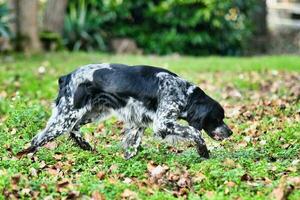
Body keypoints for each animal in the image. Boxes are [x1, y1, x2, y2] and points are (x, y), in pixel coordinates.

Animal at [17, 64, 232, 159]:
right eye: (217, 119)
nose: (230, 132)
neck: (183, 92)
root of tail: (66, 76)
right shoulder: (162, 123)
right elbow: (195, 132)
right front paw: (203, 151)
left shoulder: (139, 123)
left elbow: (132, 145)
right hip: (66, 117)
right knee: (38, 138)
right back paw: (27, 155)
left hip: (90, 113)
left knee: (74, 129)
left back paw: (85, 146)